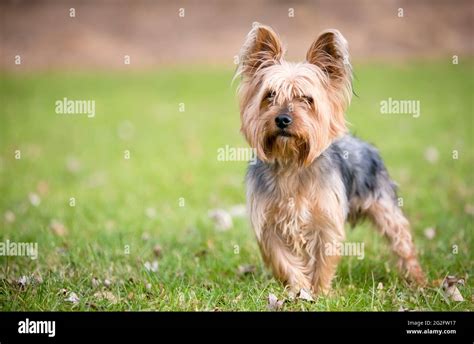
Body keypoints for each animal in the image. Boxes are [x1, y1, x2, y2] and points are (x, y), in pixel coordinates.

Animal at [236, 22, 426, 294]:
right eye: (270, 95)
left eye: (307, 99)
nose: (282, 119)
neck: (291, 162)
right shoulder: (268, 223)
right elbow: (284, 260)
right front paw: (300, 288)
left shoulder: (325, 220)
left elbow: (323, 259)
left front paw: (320, 292)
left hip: (383, 204)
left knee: (401, 239)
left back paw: (419, 280)